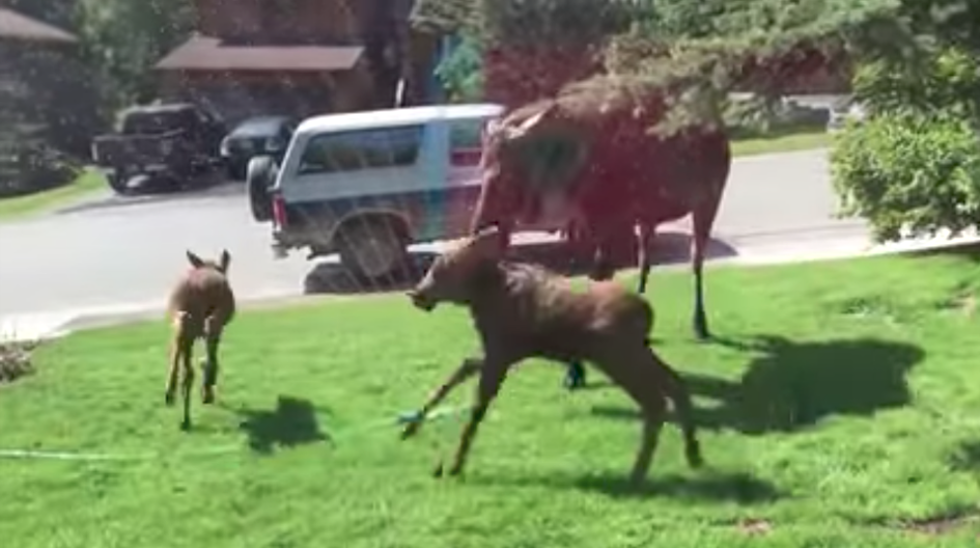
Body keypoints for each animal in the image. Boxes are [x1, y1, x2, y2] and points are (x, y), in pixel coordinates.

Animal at [165, 249, 235, 432]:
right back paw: (206, 390)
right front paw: (208, 386)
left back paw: (173, 398)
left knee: (185, 367)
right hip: (212, 317)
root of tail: (196, 285)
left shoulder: (188, 332)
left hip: (182, 320)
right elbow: (212, 353)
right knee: (211, 328)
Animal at [402, 226, 700, 484]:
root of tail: (647, 313)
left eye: (443, 269)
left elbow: (477, 407)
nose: (416, 294)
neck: (482, 297)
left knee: (655, 402)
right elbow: (457, 373)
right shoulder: (497, 351)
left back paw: (638, 472)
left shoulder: (501, 352)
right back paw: (692, 455)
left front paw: (454, 466)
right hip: (635, 351)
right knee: (675, 384)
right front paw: (410, 428)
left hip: (615, 355)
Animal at [470, 75, 732, 348]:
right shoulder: (585, 222)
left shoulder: (608, 218)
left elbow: (600, 273)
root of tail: (721, 131)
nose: (478, 225)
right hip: (648, 217)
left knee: (695, 259)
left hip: (709, 201)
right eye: (481, 166)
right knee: (645, 260)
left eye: (506, 175)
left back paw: (700, 323)